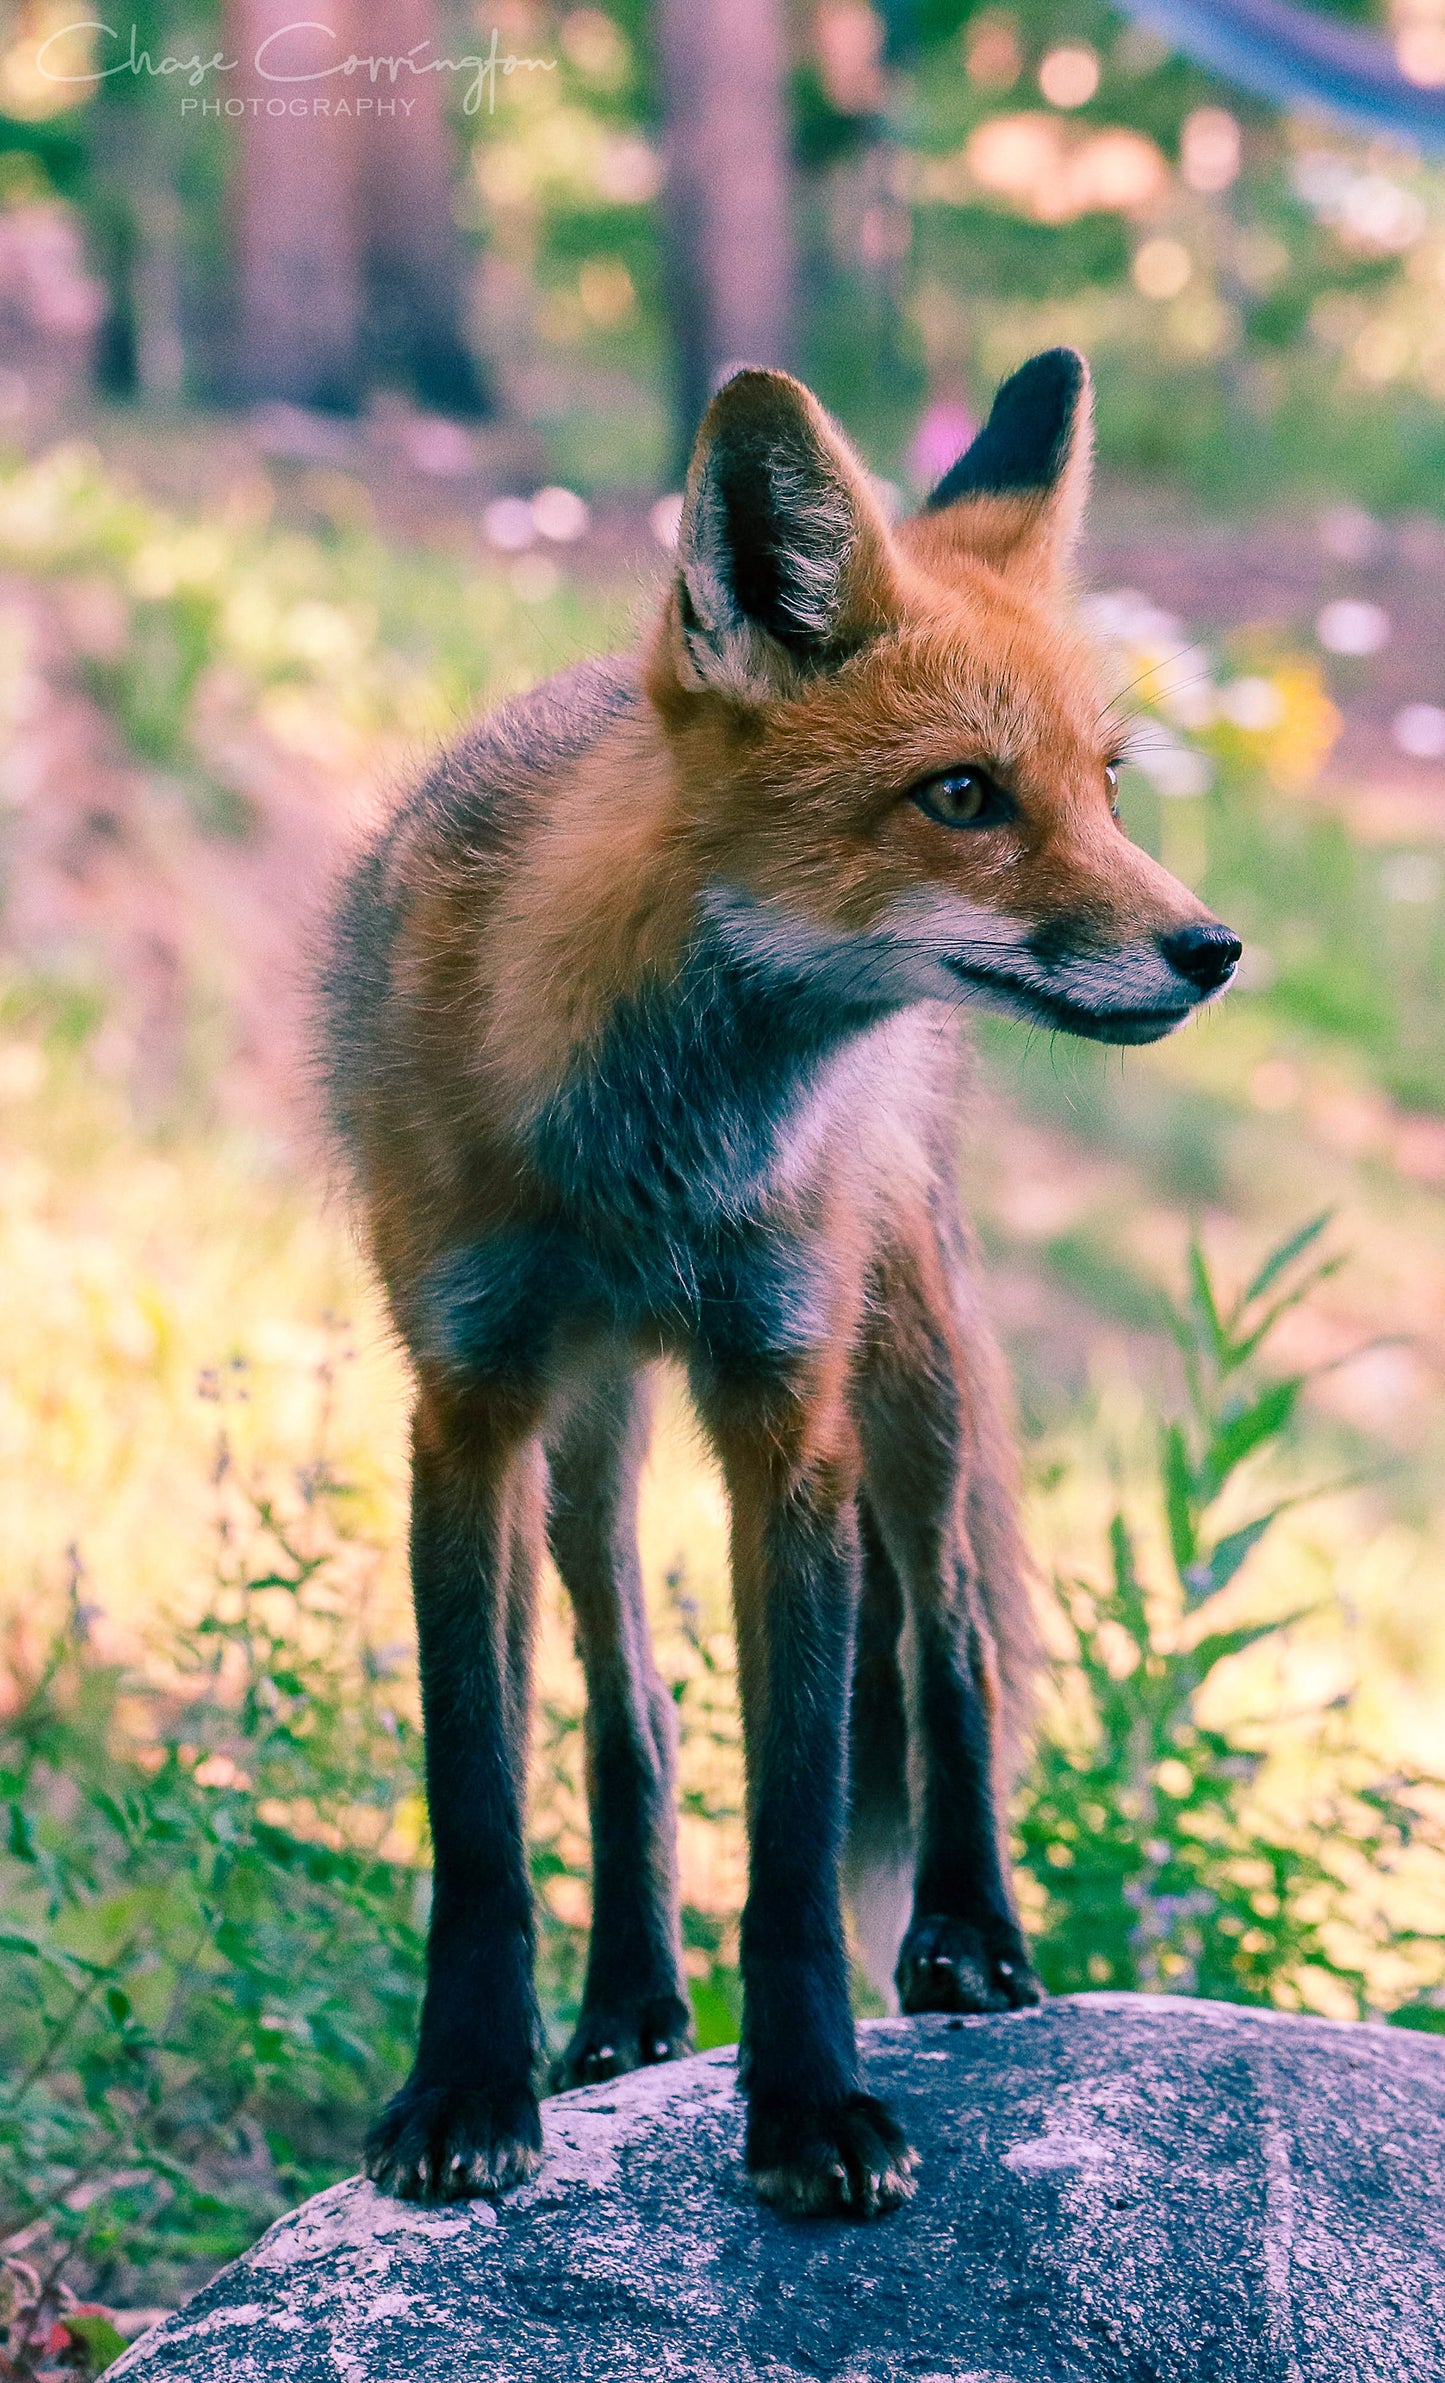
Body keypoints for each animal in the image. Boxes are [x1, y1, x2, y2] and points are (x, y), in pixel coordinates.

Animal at [318, 345, 1240, 2222]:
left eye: (1108, 785)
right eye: (963, 794)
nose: (1213, 949)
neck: (640, 1152)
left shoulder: (783, 1408)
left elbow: (806, 1836)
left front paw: (813, 2106)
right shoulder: (466, 1405)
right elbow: (479, 1810)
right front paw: (465, 2087)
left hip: (910, 1363)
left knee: (953, 1641)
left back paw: (968, 1934)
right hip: (590, 1440)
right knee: (634, 1708)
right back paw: (624, 2003)